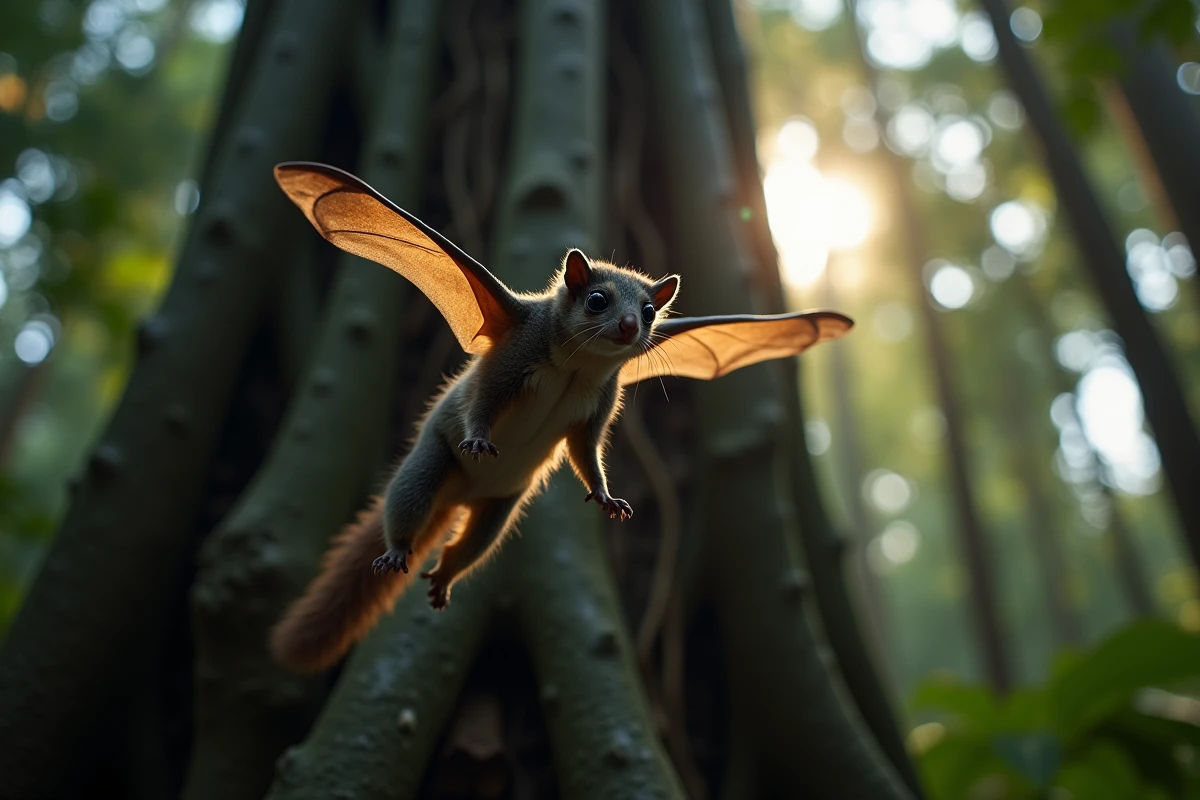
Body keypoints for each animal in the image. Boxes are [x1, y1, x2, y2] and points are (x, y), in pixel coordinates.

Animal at [267, 162, 853, 672]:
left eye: (650, 313)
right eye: (596, 300)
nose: (629, 328)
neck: (578, 365)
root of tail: (455, 500)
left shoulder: (600, 402)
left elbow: (586, 449)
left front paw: (606, 496)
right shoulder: (510, 353)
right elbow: (484, 401)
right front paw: (480, 437)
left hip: (500, 507)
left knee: (471, 543)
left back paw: (446, 575)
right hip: (432, 463)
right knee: (408, 500)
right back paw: (397, 549)